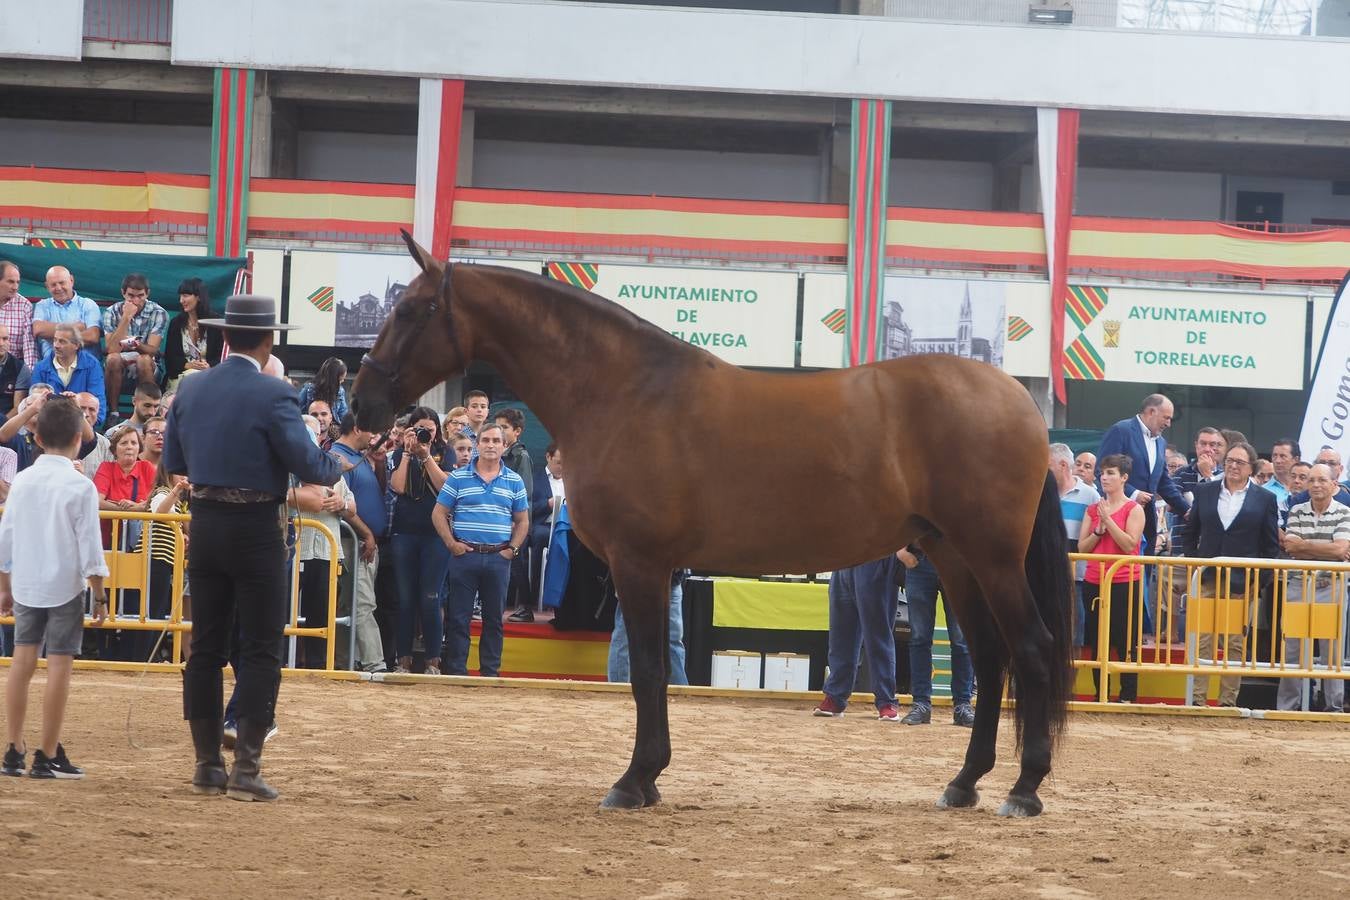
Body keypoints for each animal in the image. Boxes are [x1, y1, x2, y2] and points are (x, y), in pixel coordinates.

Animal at [353, 232, 1069, 814]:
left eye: (411, 310)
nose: (363, 402)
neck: (625, 390)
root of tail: (1019, 403)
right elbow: (650, 674)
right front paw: (649, 778)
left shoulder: (640, 564)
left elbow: (648, 670)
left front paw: (634, 781)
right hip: (955, 557)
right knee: (993, 658)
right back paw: (965, 783)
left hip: (992, 558)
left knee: (1031, 649)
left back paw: (1024, 789)